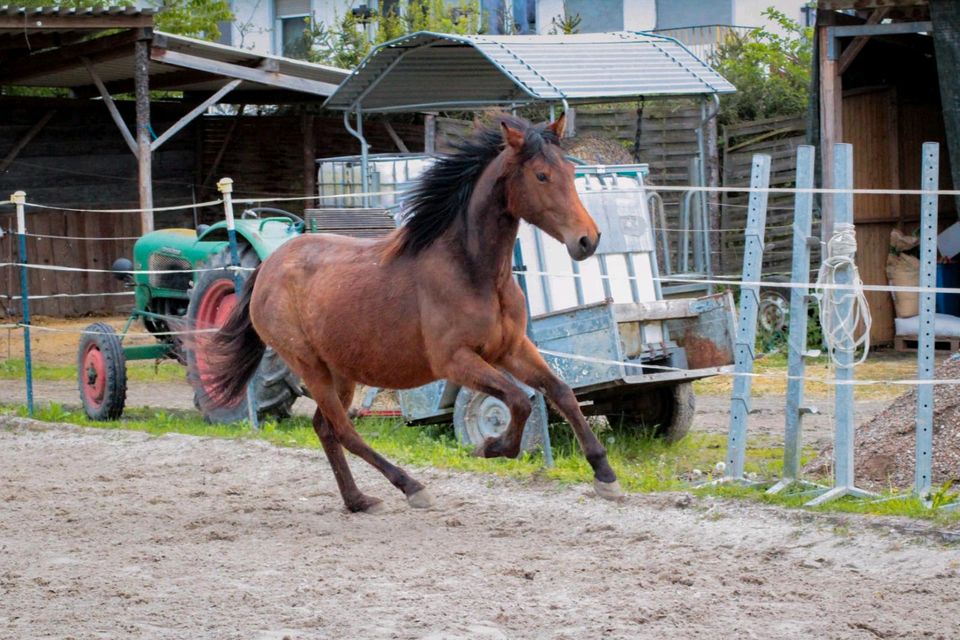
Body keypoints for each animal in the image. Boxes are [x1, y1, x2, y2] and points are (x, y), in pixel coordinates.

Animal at [205, 115, 620, 512]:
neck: (473, 271)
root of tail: (269, 265)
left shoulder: (511, 348)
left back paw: (358, 501)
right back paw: (411, 487)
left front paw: (604, 474)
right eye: (541, 175)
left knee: (324, 427)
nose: (588, 239)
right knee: (344, 430)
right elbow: (519, 400)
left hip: (339, 370)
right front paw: (491, 447)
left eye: (569, 172)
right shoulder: (455, 360)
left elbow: (560, 391)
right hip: (308, 365)